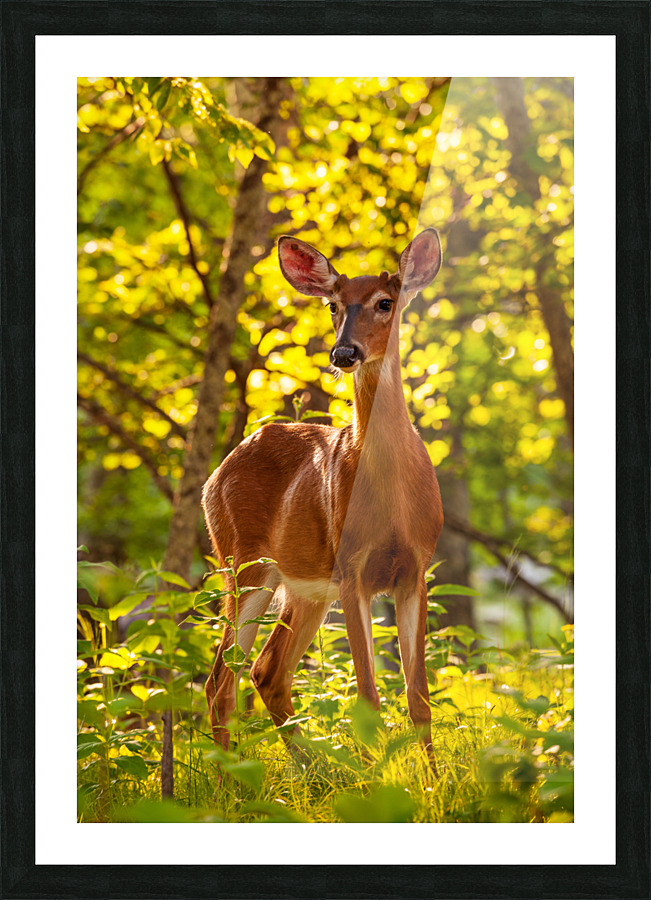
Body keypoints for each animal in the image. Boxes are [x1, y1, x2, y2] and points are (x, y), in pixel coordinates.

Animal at [202, 228, 444, 761]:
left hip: (304, 587)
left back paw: (315, 768)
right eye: (333, 304)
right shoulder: (352, 569)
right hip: (242, 563)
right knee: (221, 680)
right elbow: (368, 695)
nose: (343, 353)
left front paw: (431, 780)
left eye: (384, 302)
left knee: (266, 670)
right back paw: (237, 778)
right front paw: (378, 776)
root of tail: (216, 472)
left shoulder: (415, 569)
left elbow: (418, 696)